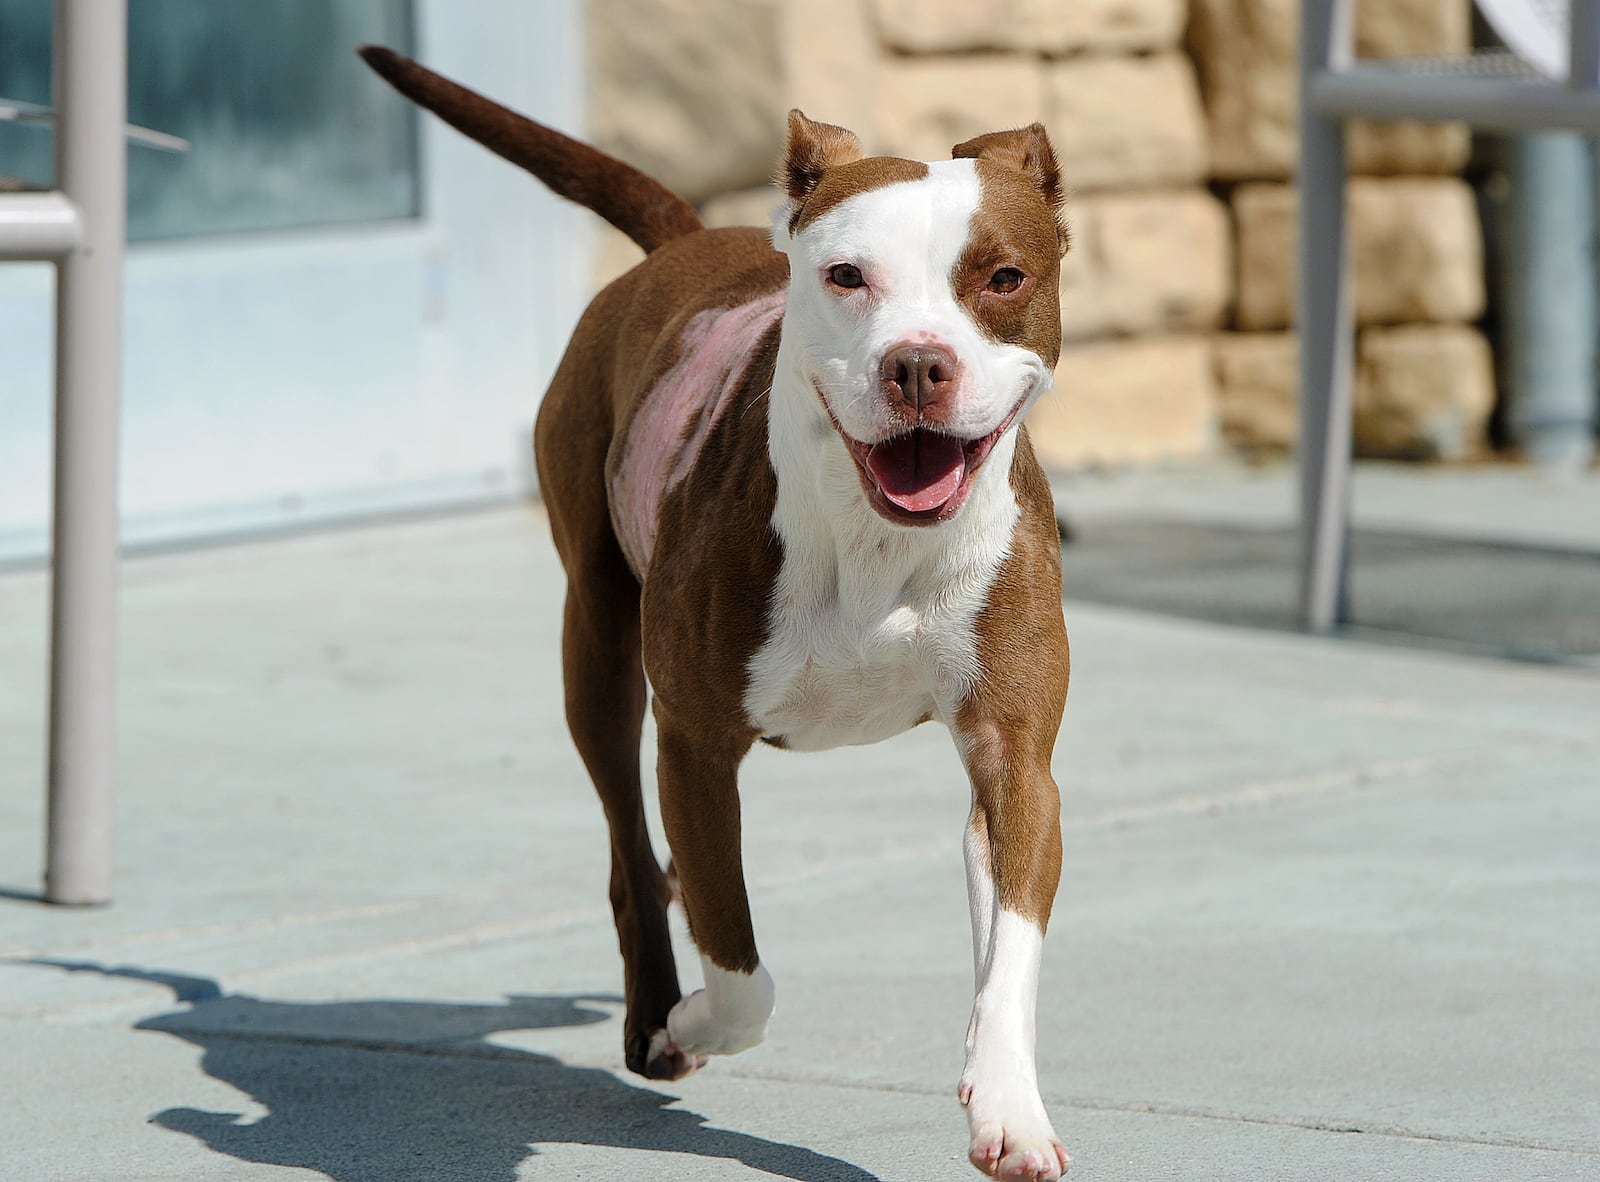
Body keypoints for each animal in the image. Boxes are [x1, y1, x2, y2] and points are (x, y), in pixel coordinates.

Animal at [363, 48, 1075, 1182]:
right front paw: (693, 1021)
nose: (918, 363)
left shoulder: (1014, 758)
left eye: (1004, 278)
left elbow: (1009, 946)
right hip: (598, 652)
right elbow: (741, 969)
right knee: (630, 848)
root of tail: (687, 239)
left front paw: (1008, 1109)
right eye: (846, 276)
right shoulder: (696, 747)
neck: (873, 542)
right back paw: (654, 1014)